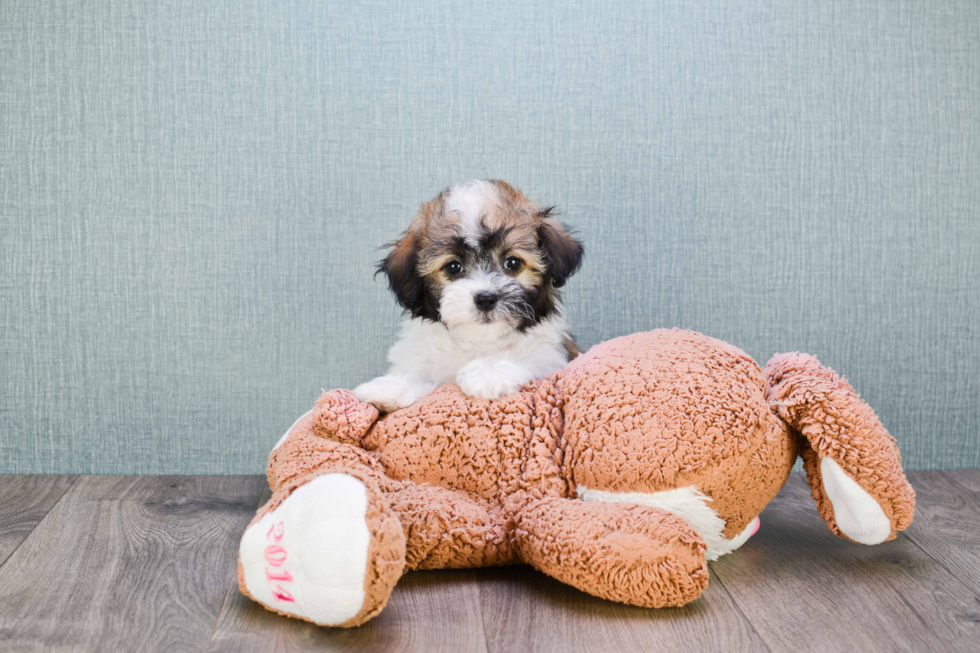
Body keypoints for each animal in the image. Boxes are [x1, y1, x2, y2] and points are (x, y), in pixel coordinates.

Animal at [352, 178, 580, 410]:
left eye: (513, 263)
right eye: (453, 267)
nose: (486, 298)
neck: (478, 341)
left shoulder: (550, 359)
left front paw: (489, 373)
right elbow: (419, 374)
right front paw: (391, 386)